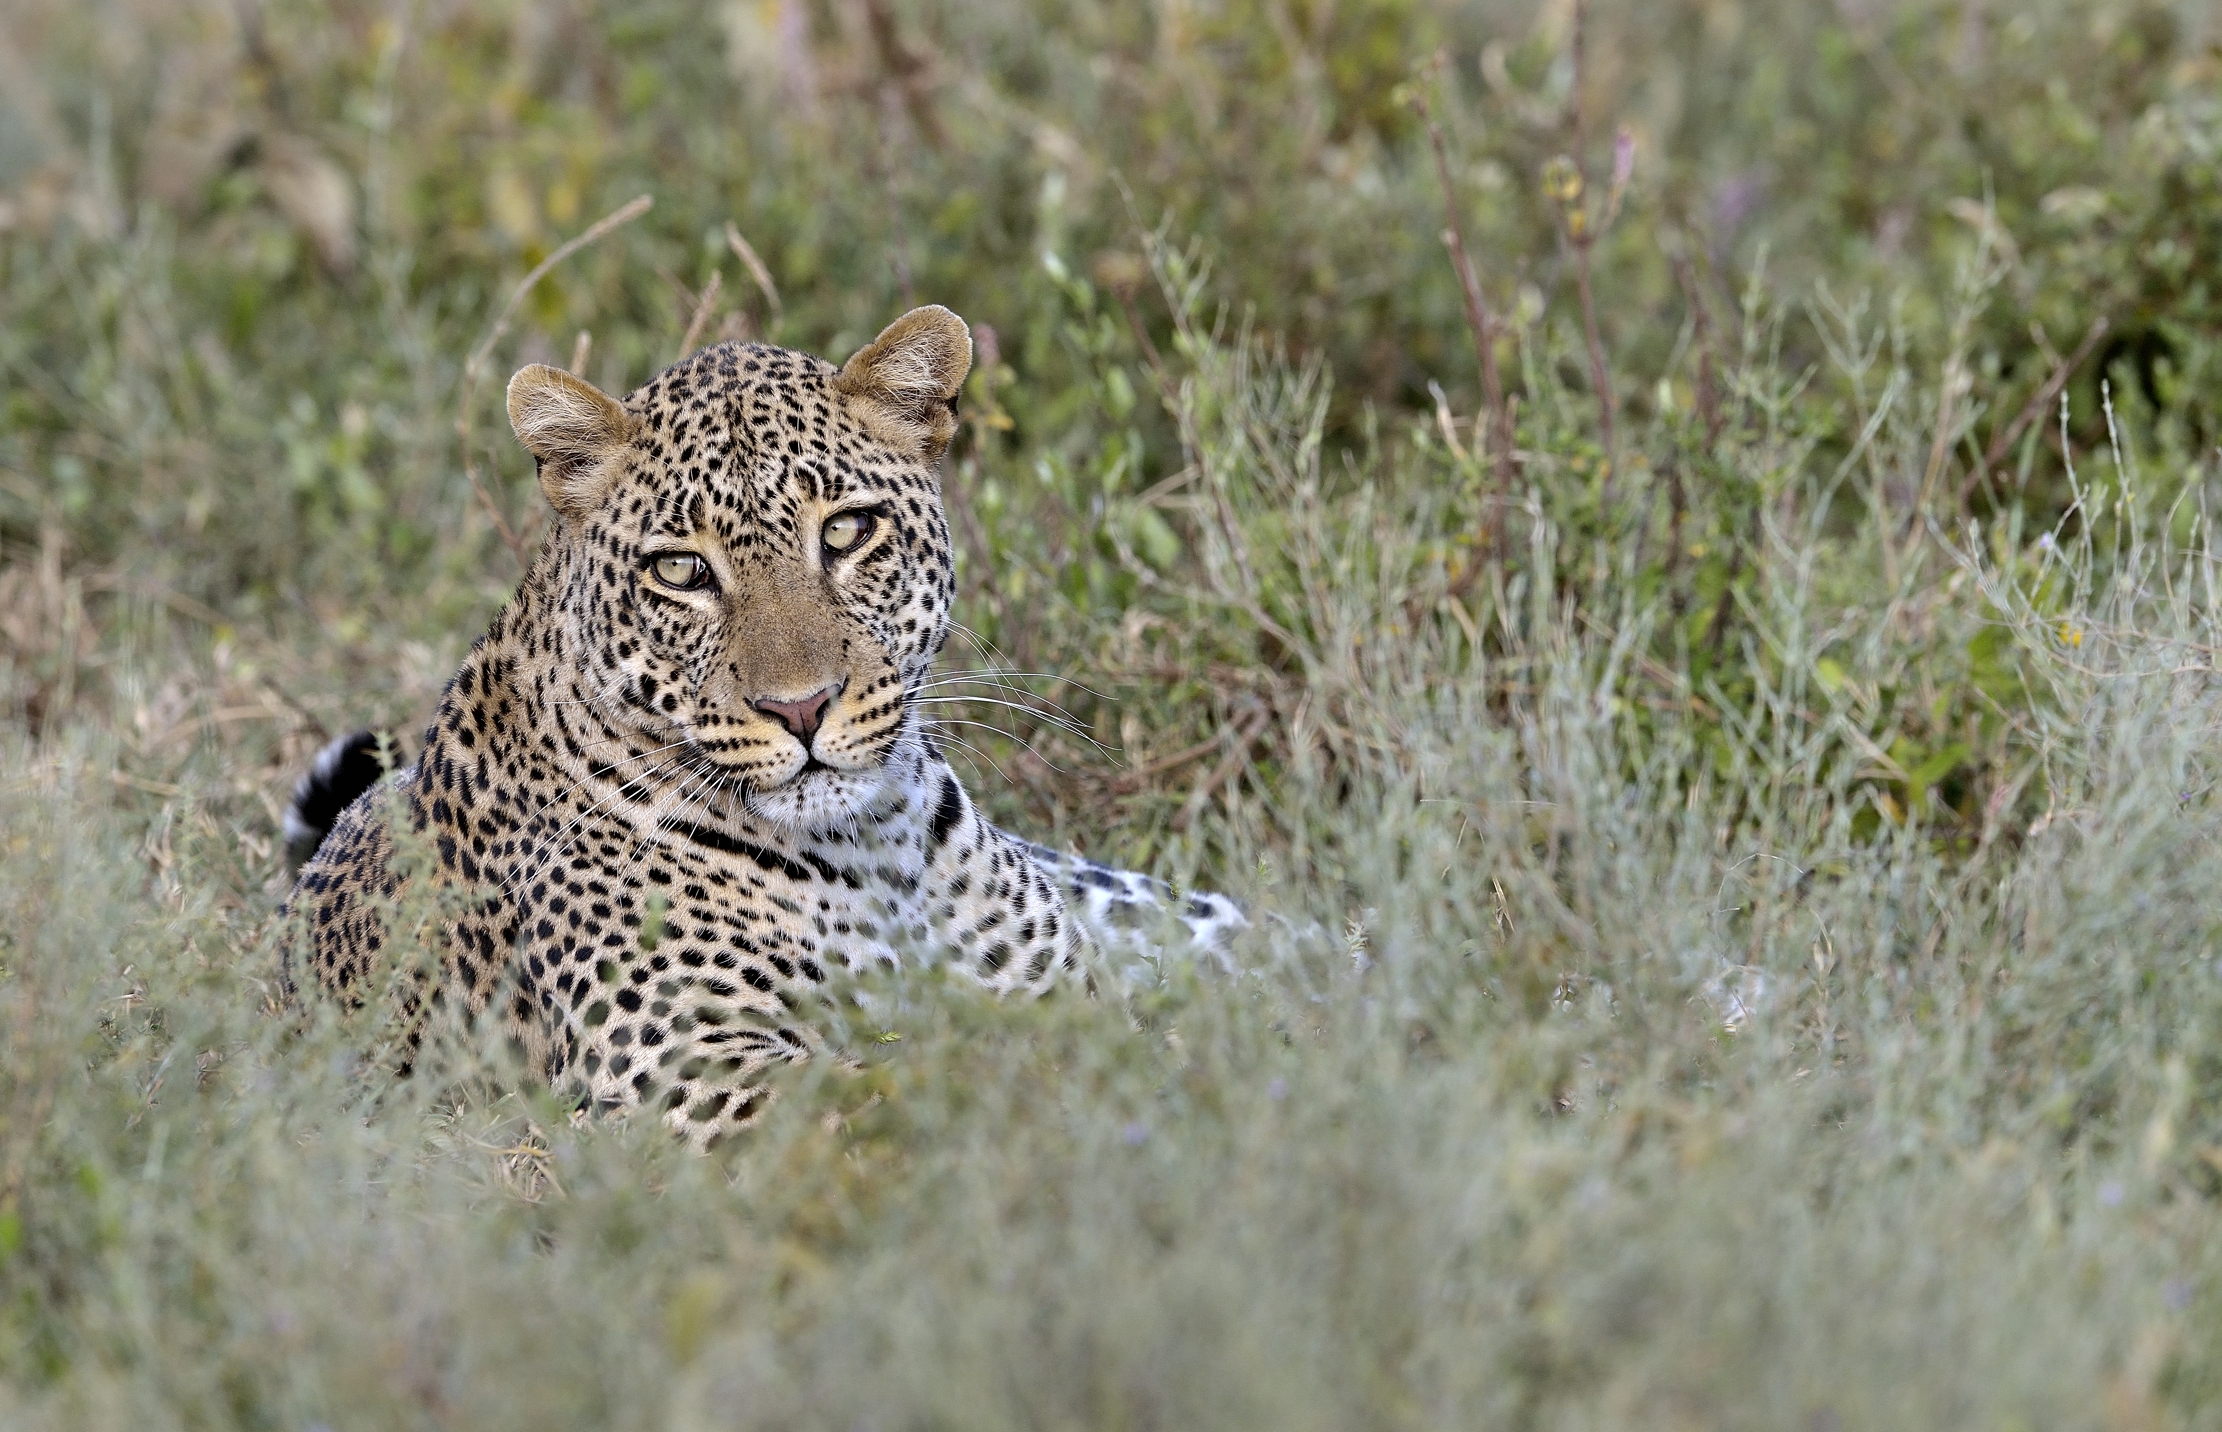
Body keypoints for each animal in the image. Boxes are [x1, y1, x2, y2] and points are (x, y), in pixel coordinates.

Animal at [282, 305, 1244, 1146]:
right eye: (681, 571)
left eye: (848, 531)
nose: (802, 706)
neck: (877, 850)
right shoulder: (681, 1068)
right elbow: (922, 1090)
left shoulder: (1060, 986)